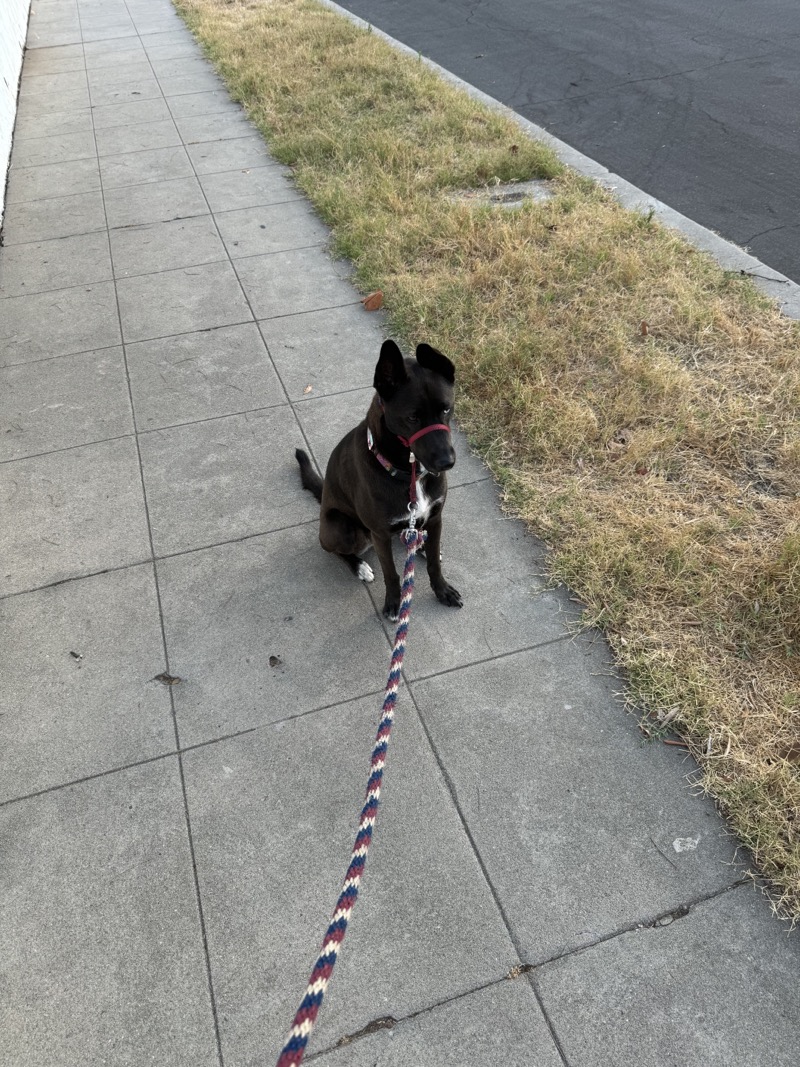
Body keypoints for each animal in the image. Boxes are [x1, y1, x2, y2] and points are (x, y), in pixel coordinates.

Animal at [298, 337, 462, 623]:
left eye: (446, 408)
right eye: (412, 417)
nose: (447, 462)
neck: (409, 474)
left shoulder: (436, 517)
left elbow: (434, 563)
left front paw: (442, 590)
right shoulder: (380, 534)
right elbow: (392, 574)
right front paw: (394, 604)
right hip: (341, 528)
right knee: (335, 550)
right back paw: (359, 566)